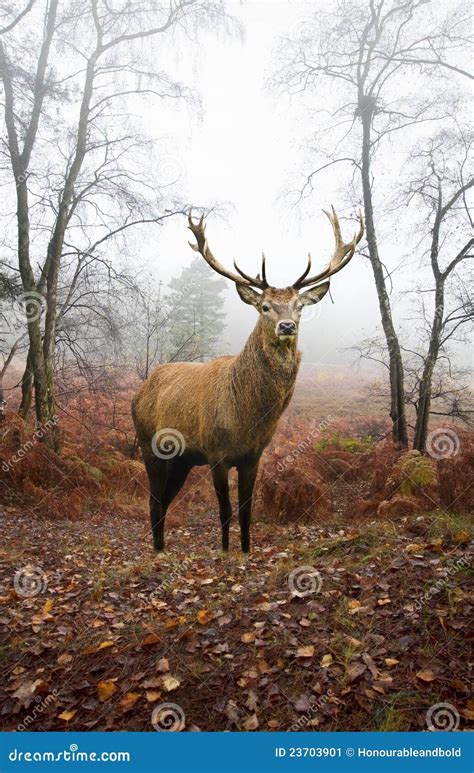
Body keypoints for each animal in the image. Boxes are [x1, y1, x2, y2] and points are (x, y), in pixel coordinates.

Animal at [132, 207, 364, 553]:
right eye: (265, 306)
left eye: (298, 306)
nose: (286, 326)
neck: (247, 417)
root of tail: (139, 391)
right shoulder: (215, 453)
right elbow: (225, 511)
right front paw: (225, 551)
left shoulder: (253, 456)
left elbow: (246, 511)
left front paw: (245, 550)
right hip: (149, 445)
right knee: (153, 500)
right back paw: (158, 551)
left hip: (182, 460)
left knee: (164, 500)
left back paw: (162, 548)